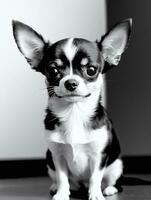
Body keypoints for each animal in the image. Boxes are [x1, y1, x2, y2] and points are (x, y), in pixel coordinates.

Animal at [12, 18, 132, 198]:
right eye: (53, 70)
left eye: (91, 70)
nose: (71, 82)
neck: (74, 112)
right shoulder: (57, 155)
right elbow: (62, 177)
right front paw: (62, 194)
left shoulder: (99, 156)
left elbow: (95, 177)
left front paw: (95, 195)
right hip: (49, 161)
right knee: (65, 180)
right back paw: (58, 187)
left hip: (116, 165)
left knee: (114, 182)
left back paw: (109, 189)